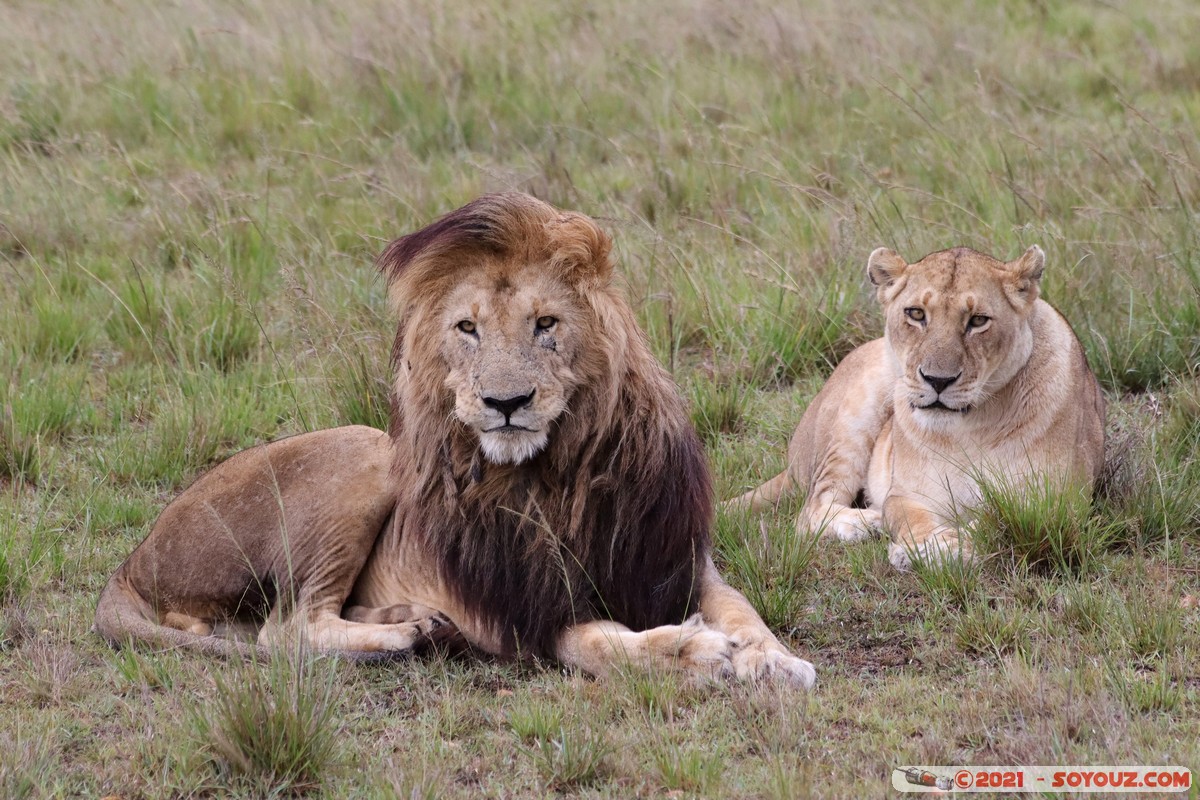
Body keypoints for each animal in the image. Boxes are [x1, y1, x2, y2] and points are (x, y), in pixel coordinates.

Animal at [98, 194, 816, 690]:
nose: (506, 402)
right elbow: (602, 642)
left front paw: (775, 659)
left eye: (546, 323)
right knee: (287, 628)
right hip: (368, 450)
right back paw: (413, 634)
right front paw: (692, 651)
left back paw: (412, 620)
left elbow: (742, 608)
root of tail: (130, 561)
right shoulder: (523, 617)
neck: (559, 479)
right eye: (467, 328)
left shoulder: (673, 559)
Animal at [724, 244, 1099, 568]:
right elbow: (912, 517)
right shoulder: (909, 494)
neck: (971, 428)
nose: (937, 380)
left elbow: (995, 521)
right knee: (811, 511)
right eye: (916, 314)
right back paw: (868, 523)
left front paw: (938, 550)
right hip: (855, 415)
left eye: (978, 320)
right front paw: (922, 548)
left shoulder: (1056, 505)